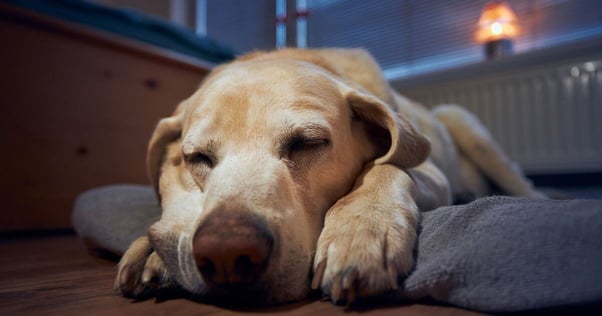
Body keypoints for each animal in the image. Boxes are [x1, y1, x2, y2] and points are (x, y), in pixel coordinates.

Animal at [115, 48, 540, 304]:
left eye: (307, 143)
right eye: (197, 157)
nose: (226, 256)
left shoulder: (429, 169)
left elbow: (385, 165)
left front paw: (361, 230)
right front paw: (151, 251)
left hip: (468, 127)